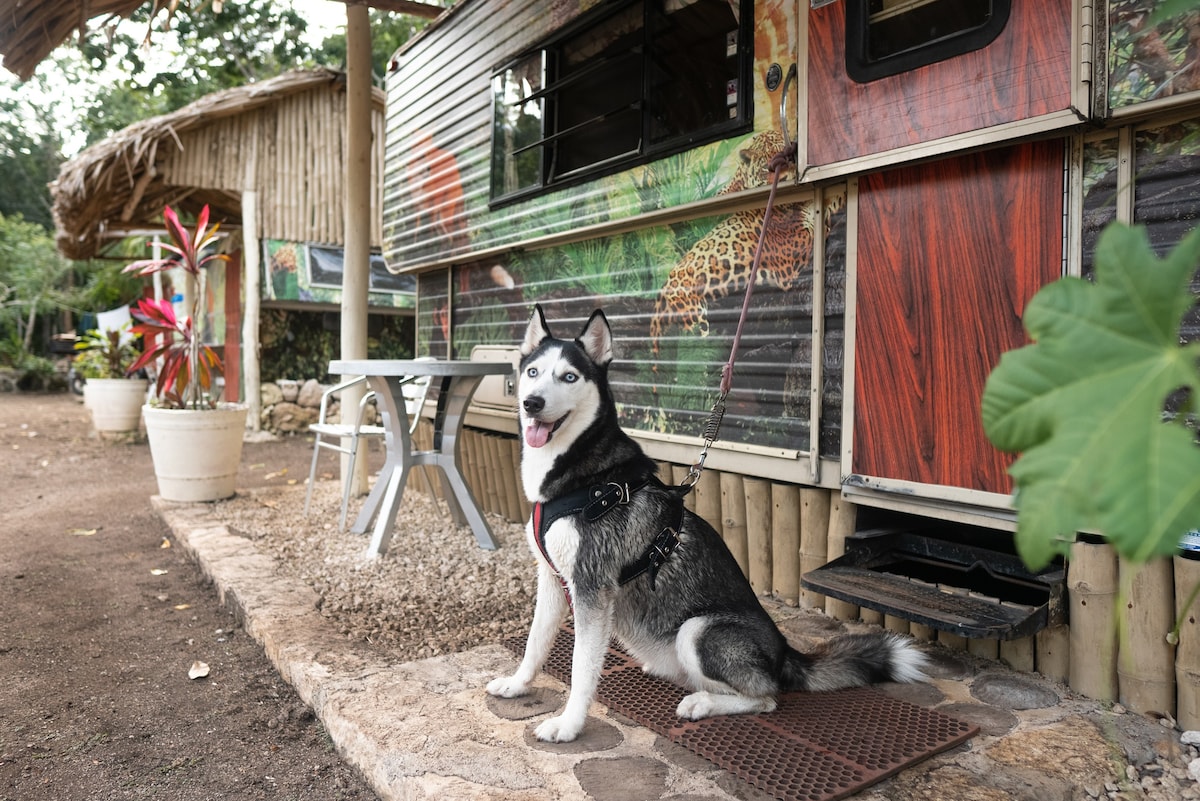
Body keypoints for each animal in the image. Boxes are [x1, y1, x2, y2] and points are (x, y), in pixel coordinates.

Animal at [487, 303, 926, 743]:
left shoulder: (593, 588)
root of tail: (786, 653)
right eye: (532, 372)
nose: (532, 403)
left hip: (697, 630)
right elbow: (535, 643)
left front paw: (569, 724)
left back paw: (703, 702)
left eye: (569, 377)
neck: (582, 476)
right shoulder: (552, 579)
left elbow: (581, 668)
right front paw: (518, 684)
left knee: (766, 696)